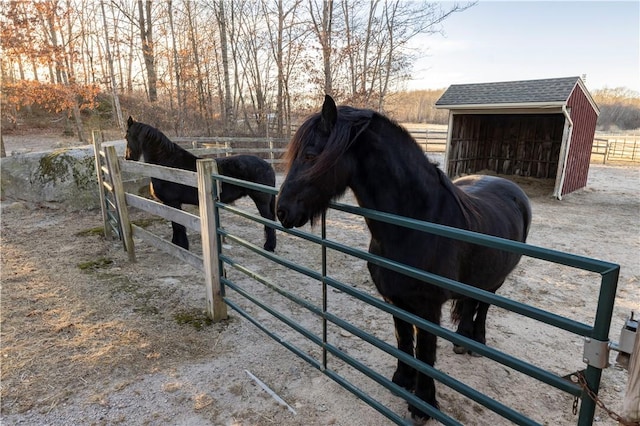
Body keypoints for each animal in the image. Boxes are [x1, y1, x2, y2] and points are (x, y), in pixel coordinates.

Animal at [124, 116, 276, 251]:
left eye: (126, 137)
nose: (128, 158)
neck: (167, 165)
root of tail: (268, 166)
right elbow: (176, 223)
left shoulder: (172, 201)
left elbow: (178, 224)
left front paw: (181, 246)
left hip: (261, 200)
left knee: (268, 220)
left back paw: (269, 246)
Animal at [278, 95, 532, 420]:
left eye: (310, 155)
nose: (281, 210)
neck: (417, 223)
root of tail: (511, 188)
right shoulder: (395, 299)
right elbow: (402, 340)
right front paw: (402, 381)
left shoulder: (428, 308)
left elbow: (424, 352)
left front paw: (422, 404)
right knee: (470, 303)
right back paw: (461, 339)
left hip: (495, 281)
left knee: (484, 305)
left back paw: (476, 341)